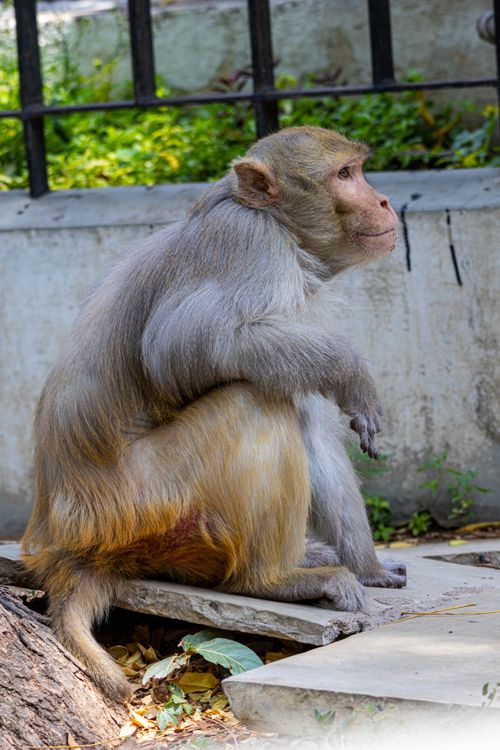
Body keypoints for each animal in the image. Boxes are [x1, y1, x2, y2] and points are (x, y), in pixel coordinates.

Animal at [22, 126, 406, 702]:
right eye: (345, 175)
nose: (383, 200)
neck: (279, 228)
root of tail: (72, 544)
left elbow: (309, 416)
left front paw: (371, 567)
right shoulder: (248, 244)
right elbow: (182, 347)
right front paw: (351, 370)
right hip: (147, 506)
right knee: (253, 400)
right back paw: (271, 579)